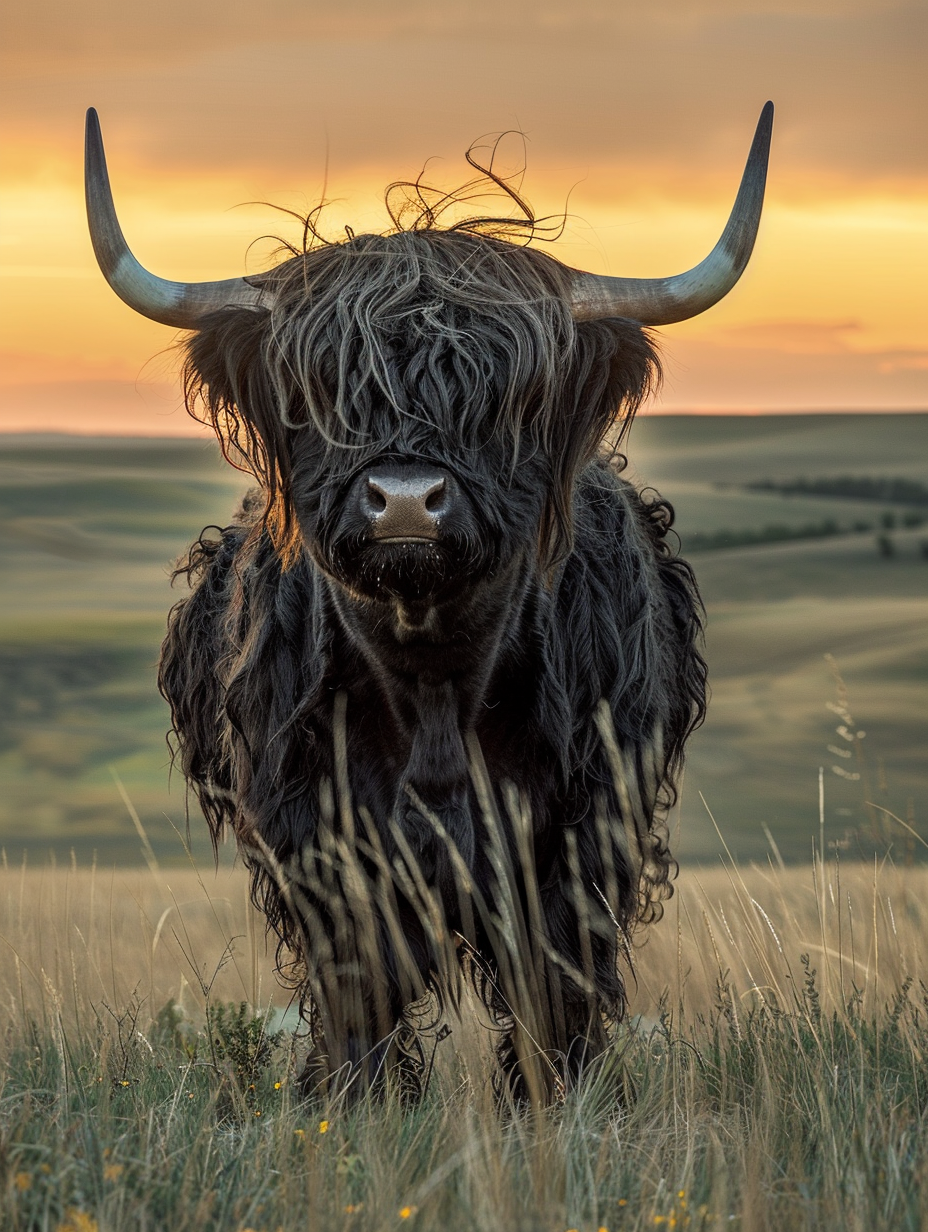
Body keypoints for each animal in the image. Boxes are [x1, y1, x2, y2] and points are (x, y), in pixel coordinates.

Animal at [85, 104, 772, 1104]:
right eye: (321, 390)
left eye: (503, 396)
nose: (405, 500)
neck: (434, 679)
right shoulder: (322, 845)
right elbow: (360, 1000)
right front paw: (356, 1105)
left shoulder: (578, 836)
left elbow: (553, 997)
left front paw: (555, 1107)